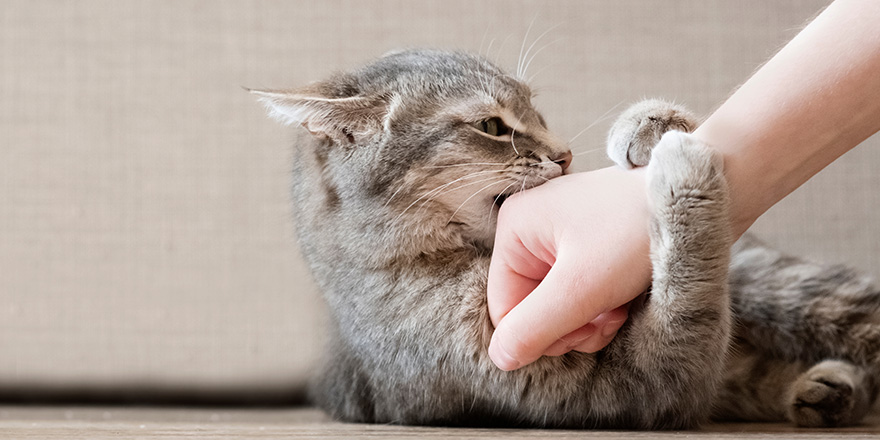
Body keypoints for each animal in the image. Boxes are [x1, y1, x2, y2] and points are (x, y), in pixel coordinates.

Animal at [251, 49, 876, 428]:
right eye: (492, 126)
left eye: (537, 109)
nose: (565, 154)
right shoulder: (630, 390)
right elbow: (689, 306)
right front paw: (683, 179)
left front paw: (650, 126)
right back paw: (825, 392)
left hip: (779, 285)